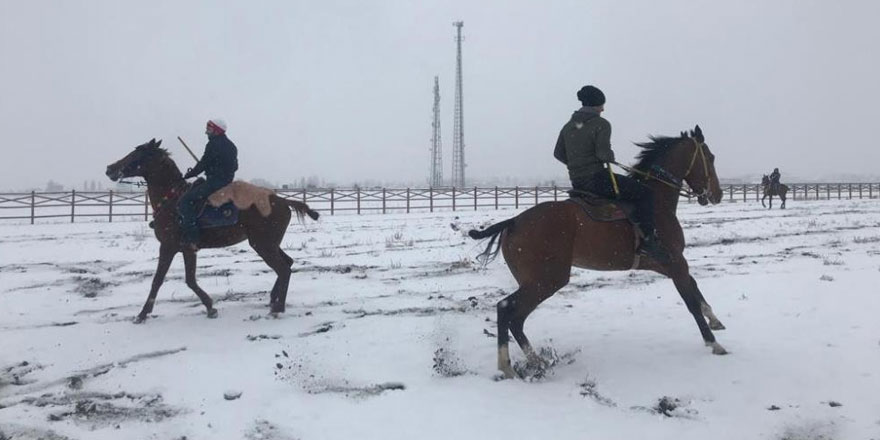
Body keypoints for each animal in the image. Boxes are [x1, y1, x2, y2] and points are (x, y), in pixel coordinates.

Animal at [105, 139, 320, 322]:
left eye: (138, 153)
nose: (110, 168)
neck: (172, 201)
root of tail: (283, 201)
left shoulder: (169, 247)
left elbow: (162, 280)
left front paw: (142, 314)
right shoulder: (187, 249)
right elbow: (187, 280)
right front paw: (209, 307)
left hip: (263, 245)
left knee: (283, 269)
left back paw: (278, 308)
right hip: (269, 243)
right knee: (287, 264)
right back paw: (273, 299)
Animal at [470, 124, 724, 378]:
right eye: (710, 157)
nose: (718, 194)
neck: (658, 202)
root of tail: (513, 221)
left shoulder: (665, 264)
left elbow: (694, 287)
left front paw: (714, 319)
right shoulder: (675, 261)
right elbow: (690, 300)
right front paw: (714, 343)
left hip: (536, 282)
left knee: (514, 317)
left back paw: (531, 361)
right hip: (546, 281)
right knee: (507, 311)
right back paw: (513, 365)